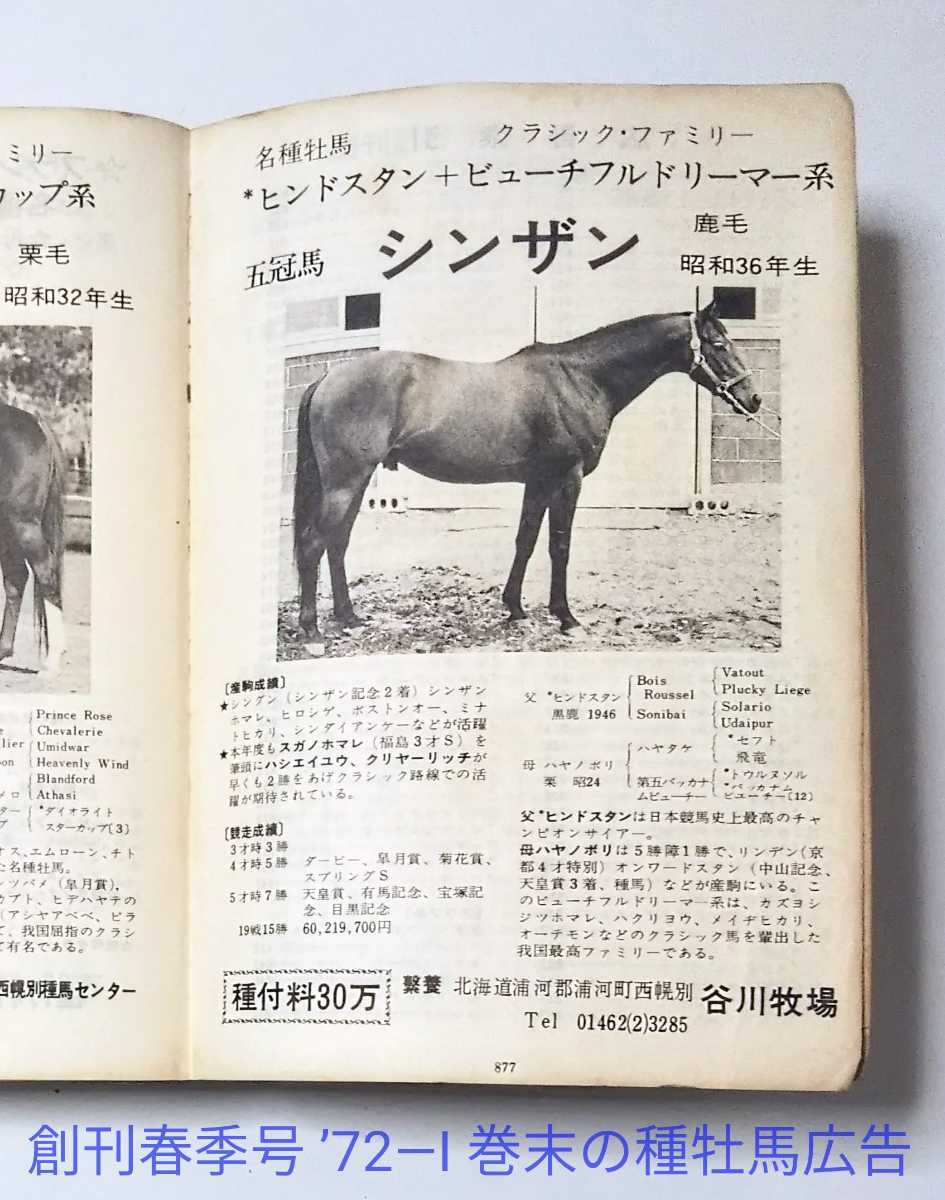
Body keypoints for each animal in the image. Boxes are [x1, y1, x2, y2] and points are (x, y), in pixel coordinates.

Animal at [292, 299, 761, 654]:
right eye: (719, 343)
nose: (753, 398)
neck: (579, 378)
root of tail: (328, 378)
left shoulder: (538, 482)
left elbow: (526, 540)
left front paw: (515, 609)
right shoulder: (567, 479)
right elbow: (559, 546)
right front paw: (566, 617)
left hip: (355, 482)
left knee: (337, 542)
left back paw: (348, 617)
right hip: (346, 481)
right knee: (314, 543)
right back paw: (312, 630)